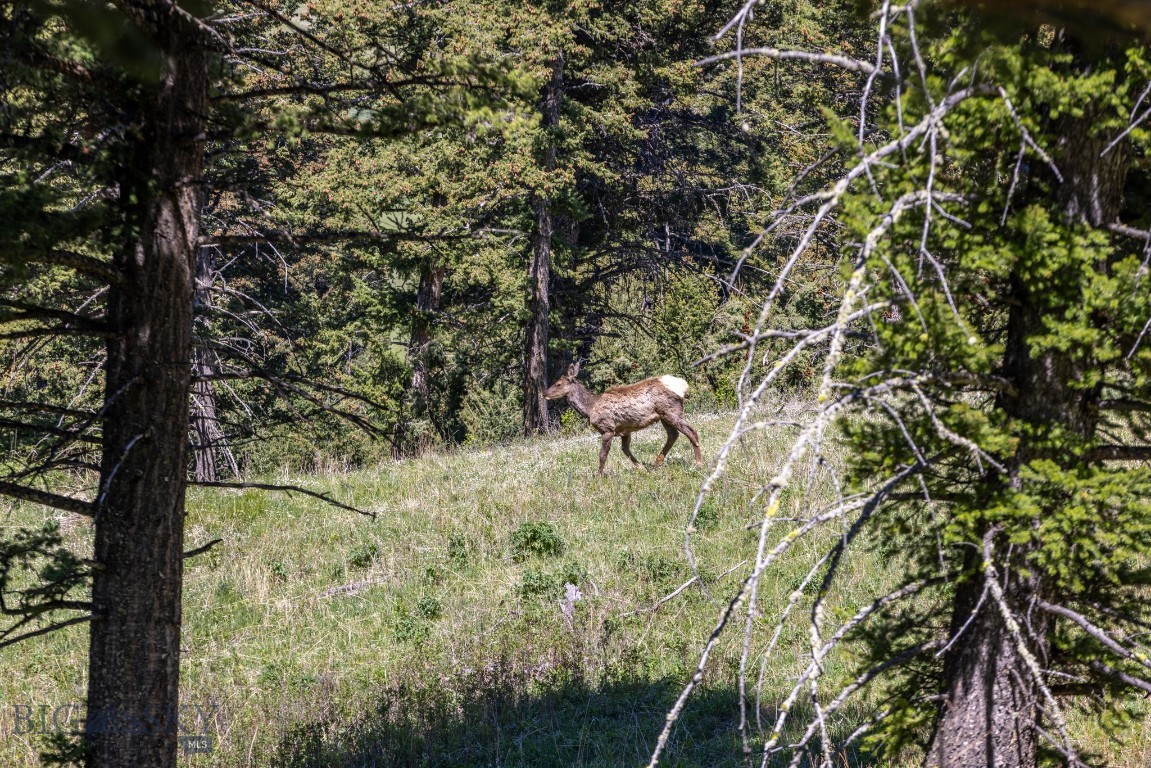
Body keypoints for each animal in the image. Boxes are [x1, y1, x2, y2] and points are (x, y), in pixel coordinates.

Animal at [544, 362, 703, 475]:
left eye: (558, 384)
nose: (544, 393)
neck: (590, 408)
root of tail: (683, 386)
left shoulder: (607, 429)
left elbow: (602, 454)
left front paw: (599, 475)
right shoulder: (625, 430)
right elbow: (625, 450)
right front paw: (641, 468)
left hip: (672, 412)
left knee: (691, 431)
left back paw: (698, 463)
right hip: (664, 416)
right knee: (673, 435)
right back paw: (657, 463)